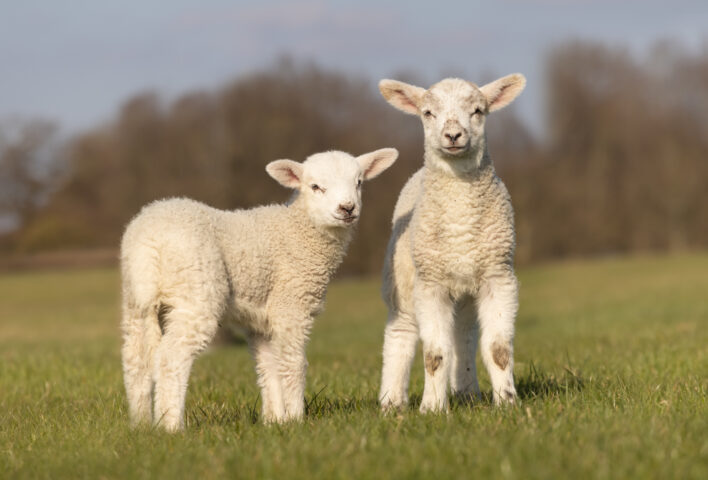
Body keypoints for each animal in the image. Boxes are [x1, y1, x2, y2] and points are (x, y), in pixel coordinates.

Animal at [120, 148, 398, 431]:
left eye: (359, 182)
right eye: (315, 187)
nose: (347, 208)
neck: (299, 231)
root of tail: (148, 240)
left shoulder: (259, 320)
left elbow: (269, 367)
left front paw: (275, 421)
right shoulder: (291, 305)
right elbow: (293, 363)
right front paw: (296, 419)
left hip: (135, 299)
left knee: (135, 361)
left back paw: (141, 425)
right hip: (196, 292)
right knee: (171, 358)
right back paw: (171, 427)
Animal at [377, 74, 526, 413]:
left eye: (478, 111)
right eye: (427, 113)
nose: (453, 135)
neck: (461, 224)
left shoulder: (498, 276)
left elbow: (498, 349)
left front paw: (507, 402)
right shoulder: (430, 284)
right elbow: (434, 354)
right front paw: (432, 408)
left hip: (468, 288)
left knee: (463, 335)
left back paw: (466, 391)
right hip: (402, 280)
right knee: (401, 332)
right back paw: (391, 402)